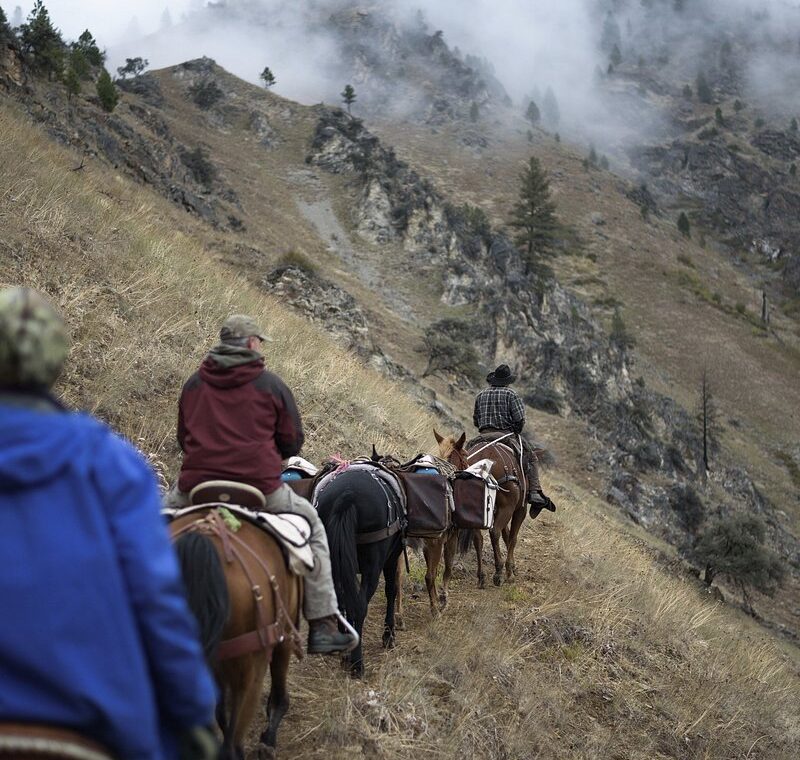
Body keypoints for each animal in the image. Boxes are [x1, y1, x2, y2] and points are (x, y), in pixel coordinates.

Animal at [314, 464, 404, 676]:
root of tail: (347, 494)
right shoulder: (391, 559)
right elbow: (391, 591)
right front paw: (389, 636)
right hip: (373, 565)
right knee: (360, 605)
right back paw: (357, 664)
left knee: (340, 600)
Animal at [432, 428, 532, 588]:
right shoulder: (519, 509)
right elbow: (511, 537)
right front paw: (510, 570)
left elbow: (505, 535)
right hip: (508, 508)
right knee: (495, 533)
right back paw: (499, 572)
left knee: (479, 538)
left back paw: (482, 576)